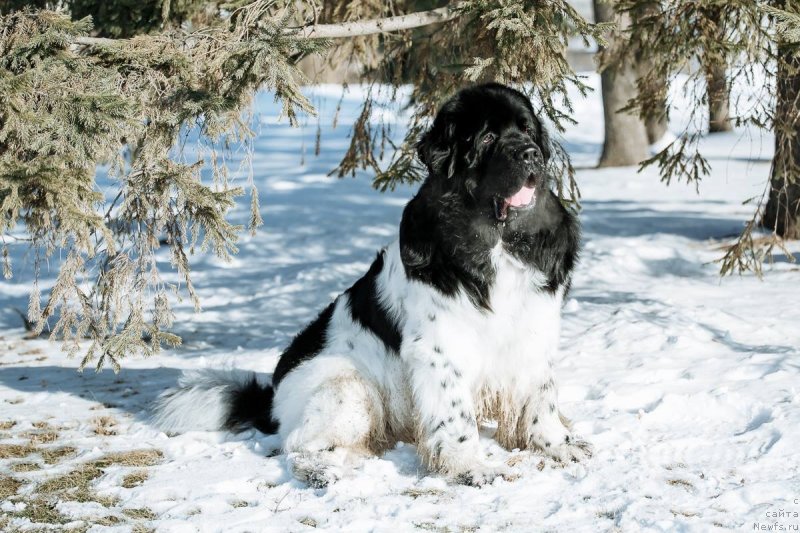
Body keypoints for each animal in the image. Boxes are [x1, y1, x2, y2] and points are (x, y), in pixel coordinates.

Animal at [153, 82, 592, 486]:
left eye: (528, 131)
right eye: (487, 138)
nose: (530, 154)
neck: (496, 239)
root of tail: (273, 395)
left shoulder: (533, 325)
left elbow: (541, 395)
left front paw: (556, 444)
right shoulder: (440, 347)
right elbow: (456, 416)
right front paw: (470, 466)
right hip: (347, 387)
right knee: (298, 445)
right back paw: (325, 471)